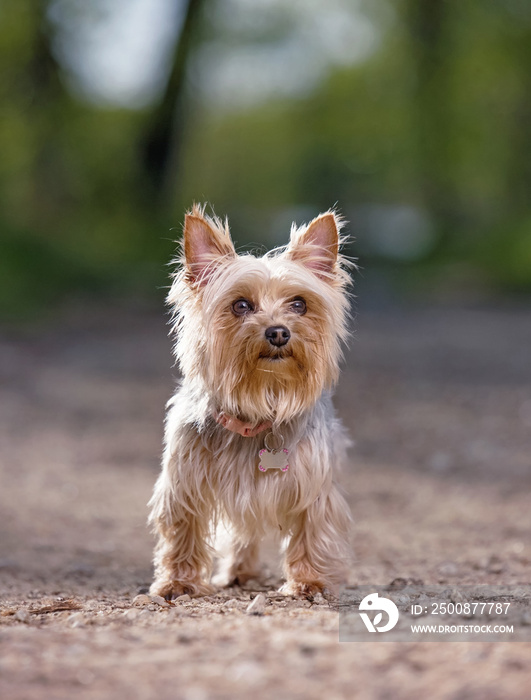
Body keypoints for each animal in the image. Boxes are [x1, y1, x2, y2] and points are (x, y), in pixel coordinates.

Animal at [149, 201, 354, 596]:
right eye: (241, 305)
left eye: (299, 304)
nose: (278, 332)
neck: (261, 403)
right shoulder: (185, 480)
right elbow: (183, 530)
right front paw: (179, 582)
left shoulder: (313, 482)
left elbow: (312, 530)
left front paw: (309, 581)